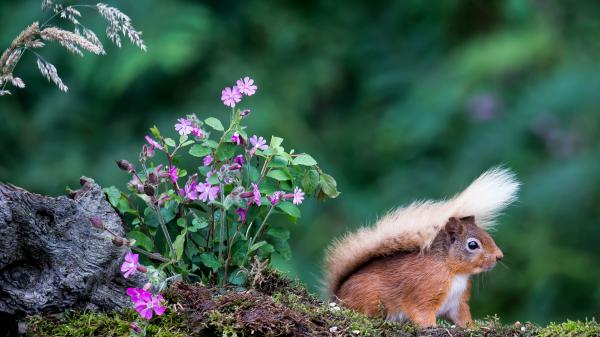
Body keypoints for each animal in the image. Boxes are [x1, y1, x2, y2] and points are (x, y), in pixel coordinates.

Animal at [326, 167, 516, 326]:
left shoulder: (457, 303)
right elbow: (422, 313)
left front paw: (474, 327)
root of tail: (336, 296)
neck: (454, 272)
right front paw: (432, 327)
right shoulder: (424, 291)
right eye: (472, 245)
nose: (499, 256)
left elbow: (462, 318)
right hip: (370, 298)